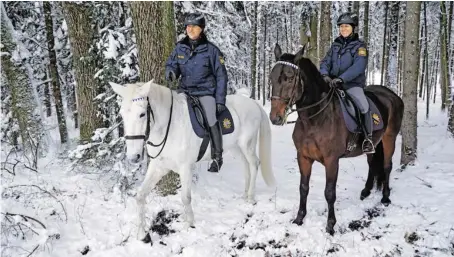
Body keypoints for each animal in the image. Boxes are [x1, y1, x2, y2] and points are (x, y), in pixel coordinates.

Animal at [109, 80, 276, 238]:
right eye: (122, 114)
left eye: (142, 114)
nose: (133, 157)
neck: (170, 126)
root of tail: (253, 103)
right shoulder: (158, 167)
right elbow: (140, 196)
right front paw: (141, 234)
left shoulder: (185, 168)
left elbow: (186, 197)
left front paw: (190, 224)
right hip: (235, 148)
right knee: (246, 166)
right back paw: (245, 194)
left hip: (247, 145)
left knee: (254, 164)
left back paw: (251, 197)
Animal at [268, 43, 402, 234]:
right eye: (271, 78)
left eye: (290, 77)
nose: (275, 117)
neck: (315, 119)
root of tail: (392, 95)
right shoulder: (303, 157)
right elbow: (303, 188)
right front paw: (299, 219)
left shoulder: (332, 161)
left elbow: (329, 193)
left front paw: (330, 225)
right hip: (373, 144)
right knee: (372, 164)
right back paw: (366, 191)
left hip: (389, 138)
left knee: (387, 166)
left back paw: (385, 197)